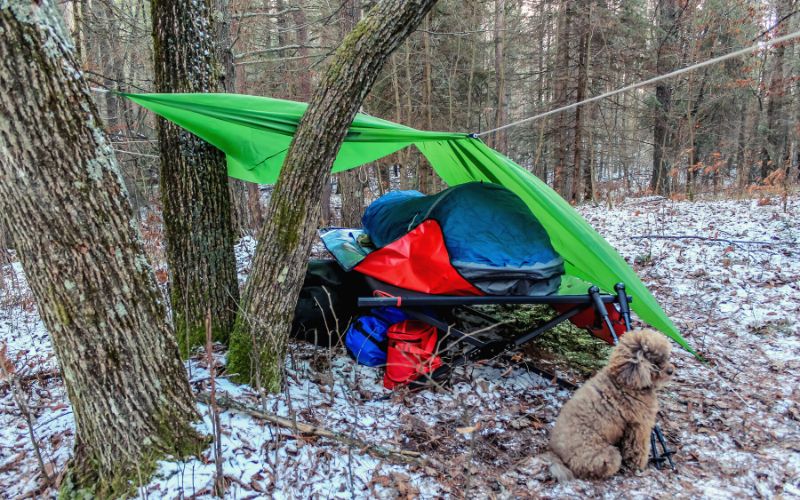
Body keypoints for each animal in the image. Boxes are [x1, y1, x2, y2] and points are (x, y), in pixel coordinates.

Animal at [548, 328, 672, 480]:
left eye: (666, 358)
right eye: (656, 362)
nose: (671, 371)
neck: (626, 381)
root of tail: (558, 456)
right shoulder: (638, 425)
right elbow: (638, 447)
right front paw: (638, 464)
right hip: (606, 456)